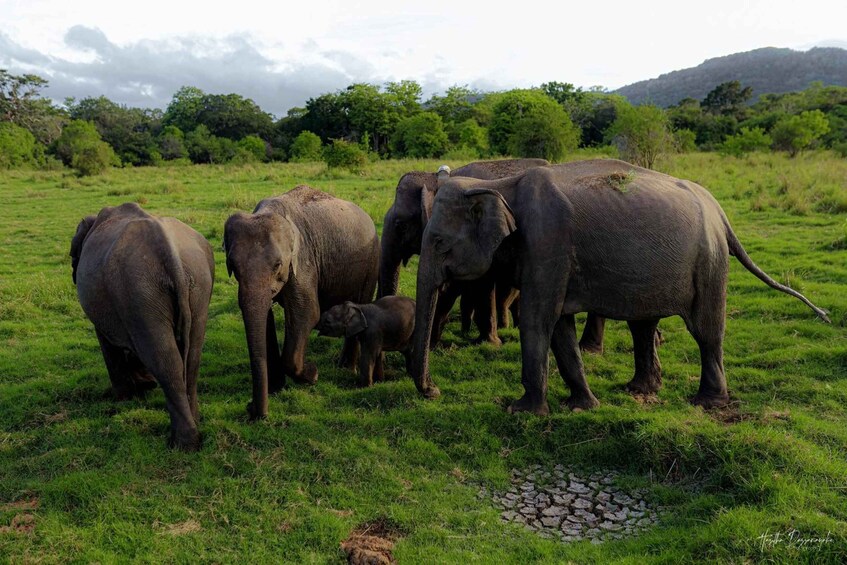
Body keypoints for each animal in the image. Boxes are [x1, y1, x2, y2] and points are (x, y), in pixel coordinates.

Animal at [70, 202, 214, 451]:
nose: (146, 385)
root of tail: (170, 254)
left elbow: (108, 343)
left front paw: (124, 399)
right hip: (197, 285)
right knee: (192, 356)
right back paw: (195, 424)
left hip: (138, 291)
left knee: (165, 360)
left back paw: (182, 444)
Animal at [223, 185, 379, 420]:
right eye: (232, 265)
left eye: (277, 265)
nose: (250, 408)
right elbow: (265, 317)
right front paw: (276, 388)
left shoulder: (303, 261)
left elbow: (307, 313)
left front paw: (312, 374)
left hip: (371, 263)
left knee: (361, 302)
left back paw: (345, 368)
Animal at [410, 159, 830, 413]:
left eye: (439, 243)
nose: (434, 391)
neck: (498, 184)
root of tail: (719, 210)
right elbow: (558, 326)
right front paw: (583, 406)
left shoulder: (549, 241)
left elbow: (537, 318)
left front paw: (522, 410)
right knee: (642, 326)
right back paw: (639, 391)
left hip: (710, 261)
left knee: (706, 331)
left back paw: (706, 403)